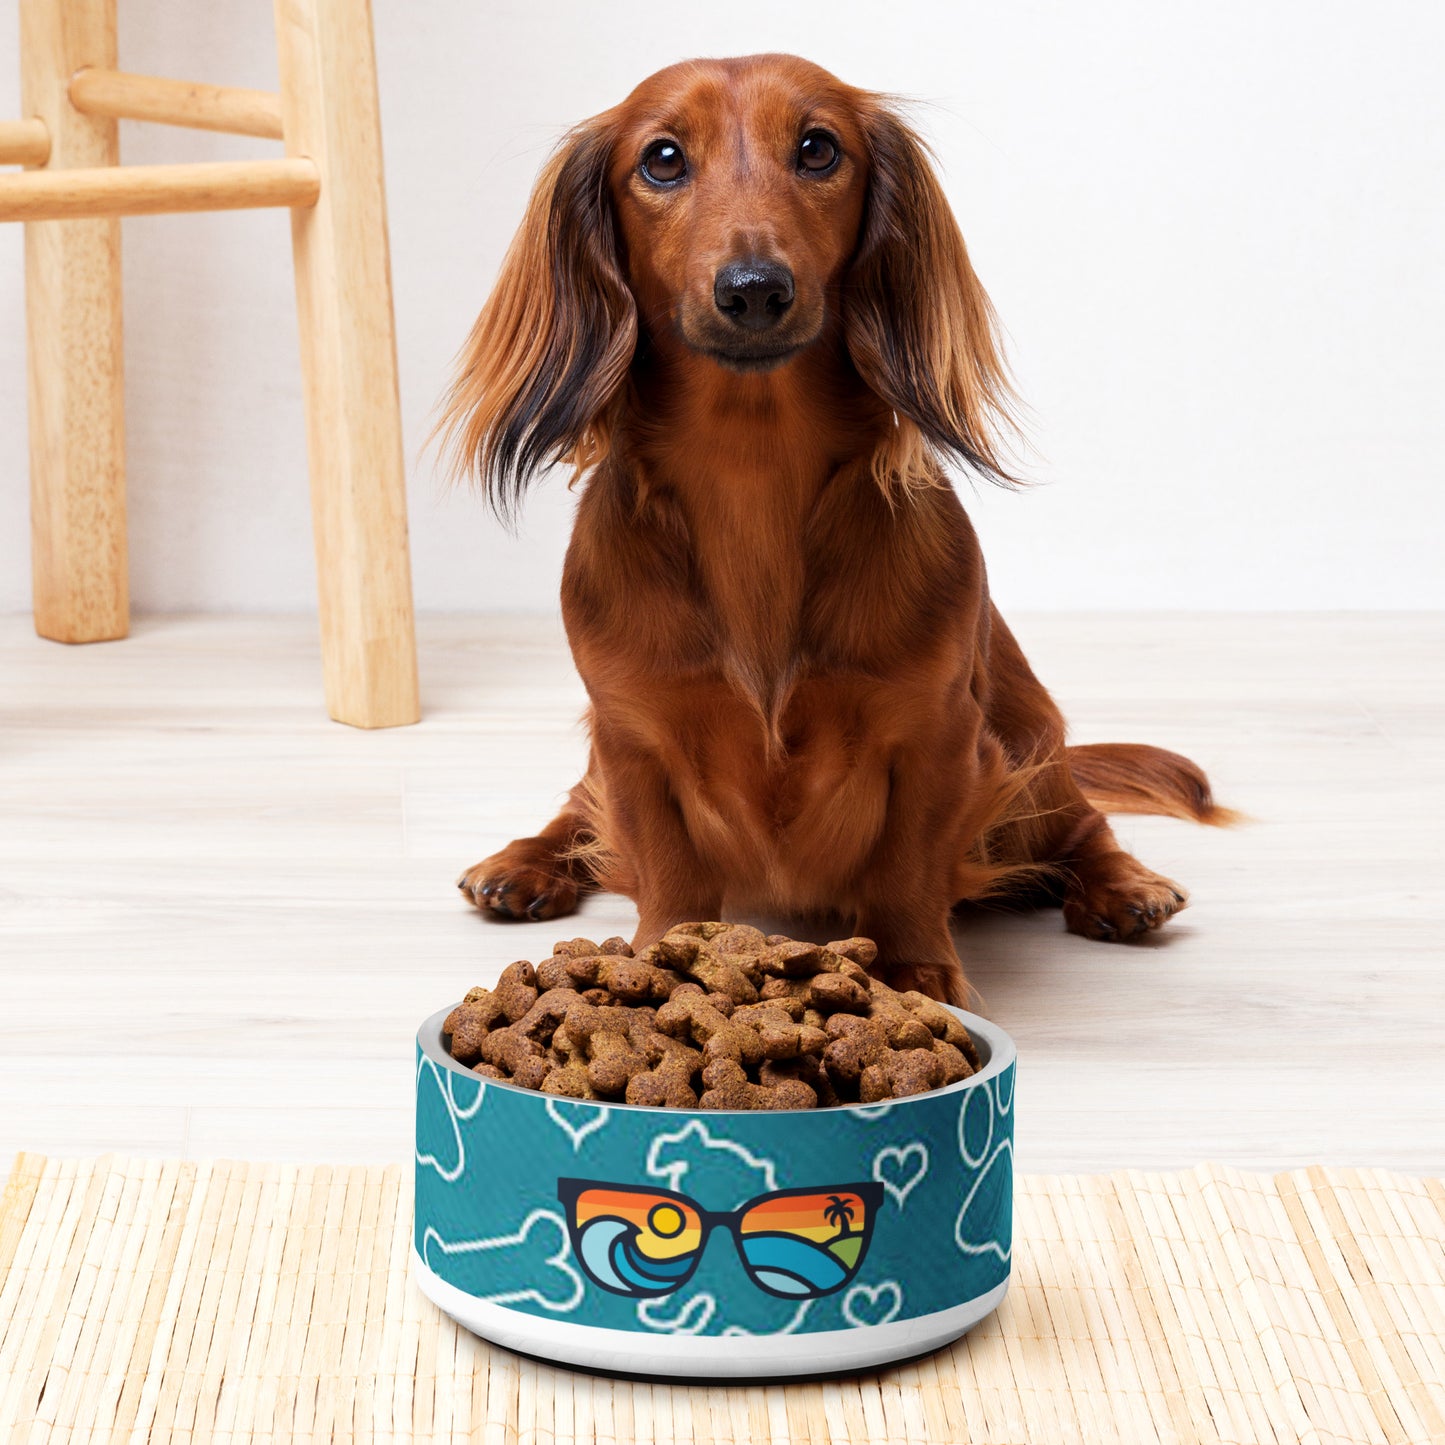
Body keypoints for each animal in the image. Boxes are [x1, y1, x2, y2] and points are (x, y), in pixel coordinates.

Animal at [442, 56, 1231, 1005]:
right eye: (661, 159)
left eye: (818, 148)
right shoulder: (632, 736)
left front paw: (916, 971)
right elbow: (665, 866)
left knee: (1081, 823)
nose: (753, 290)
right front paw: (660, 959)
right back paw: (522, 863)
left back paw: (1123, 885)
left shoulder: (936, 733)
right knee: (576, 810)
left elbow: (905, 866)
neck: (752, 472)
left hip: (1028, 744)